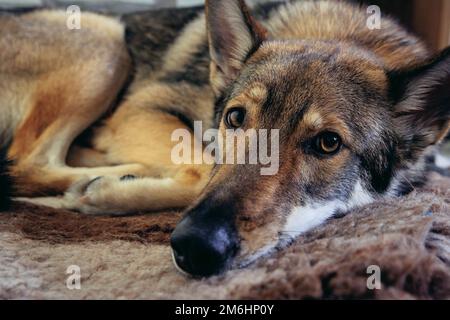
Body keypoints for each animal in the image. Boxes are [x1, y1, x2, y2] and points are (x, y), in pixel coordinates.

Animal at [0, 0, 450, 276]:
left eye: (328, 143)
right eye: (235, 118)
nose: (194, 247)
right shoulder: (143, 106)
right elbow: (203, 167)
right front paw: (109, 192)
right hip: (106, 39)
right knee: (26, 162)